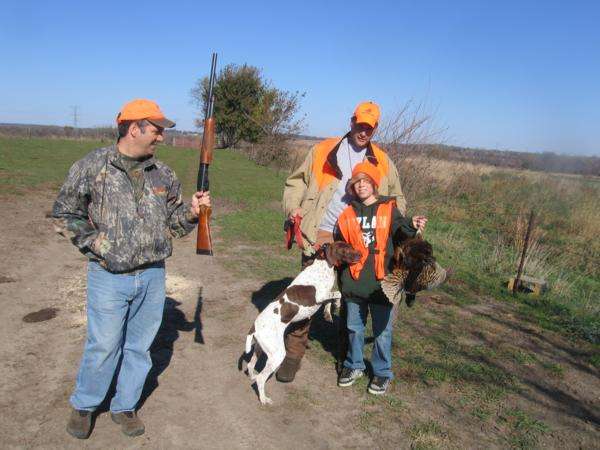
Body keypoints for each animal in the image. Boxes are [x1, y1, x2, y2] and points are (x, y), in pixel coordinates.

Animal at [245, 241, 360, 406]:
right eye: (346, 250)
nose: (361, 255)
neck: (323, 264)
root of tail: (254, 327)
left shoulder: (325, 296)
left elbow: (331, 300)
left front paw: (329, 312)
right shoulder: (320, 295)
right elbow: (338, 293)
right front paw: (336, 304)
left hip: (261, 348)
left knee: (250, 365)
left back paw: (253, 377)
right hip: (277, 354)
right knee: (261, 378)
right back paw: (264, 399)